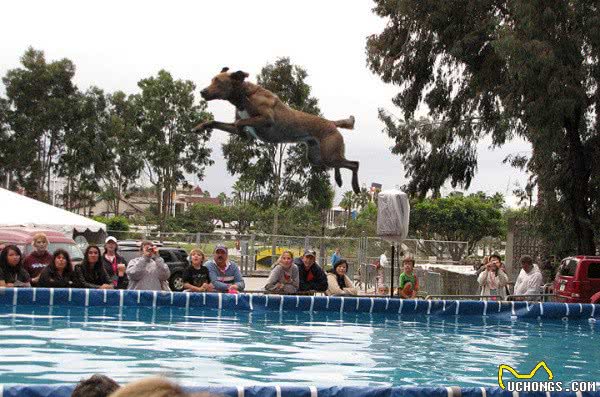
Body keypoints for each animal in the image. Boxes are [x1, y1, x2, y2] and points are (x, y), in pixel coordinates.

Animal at [192, 67, 360, 193]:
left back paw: (355, 187)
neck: (245, 96)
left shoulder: (266, 119)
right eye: (212, 80)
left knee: (354, 164)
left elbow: (242, 122)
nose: (202, 91)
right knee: (342, 162)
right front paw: (199, 127)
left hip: (328, 155)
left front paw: (242, 132)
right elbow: (216, 122)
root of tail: (332, 123)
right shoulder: (234, 125)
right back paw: (339, 179)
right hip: (317, 157)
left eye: (219, 82)